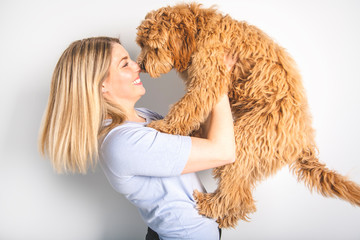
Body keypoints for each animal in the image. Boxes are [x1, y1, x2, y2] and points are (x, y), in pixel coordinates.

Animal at [136, 2, 360, 228]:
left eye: (153, 46)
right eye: (141, 44)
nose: (141, 65)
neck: (200, 30)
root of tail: (303, 139)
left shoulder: (208, 79)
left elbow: (187, 107)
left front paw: (164, 126)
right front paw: (191, 132)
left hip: (247, 139)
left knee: (235, 190)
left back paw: (212, 206)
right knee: (244, 196)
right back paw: (226, 217)